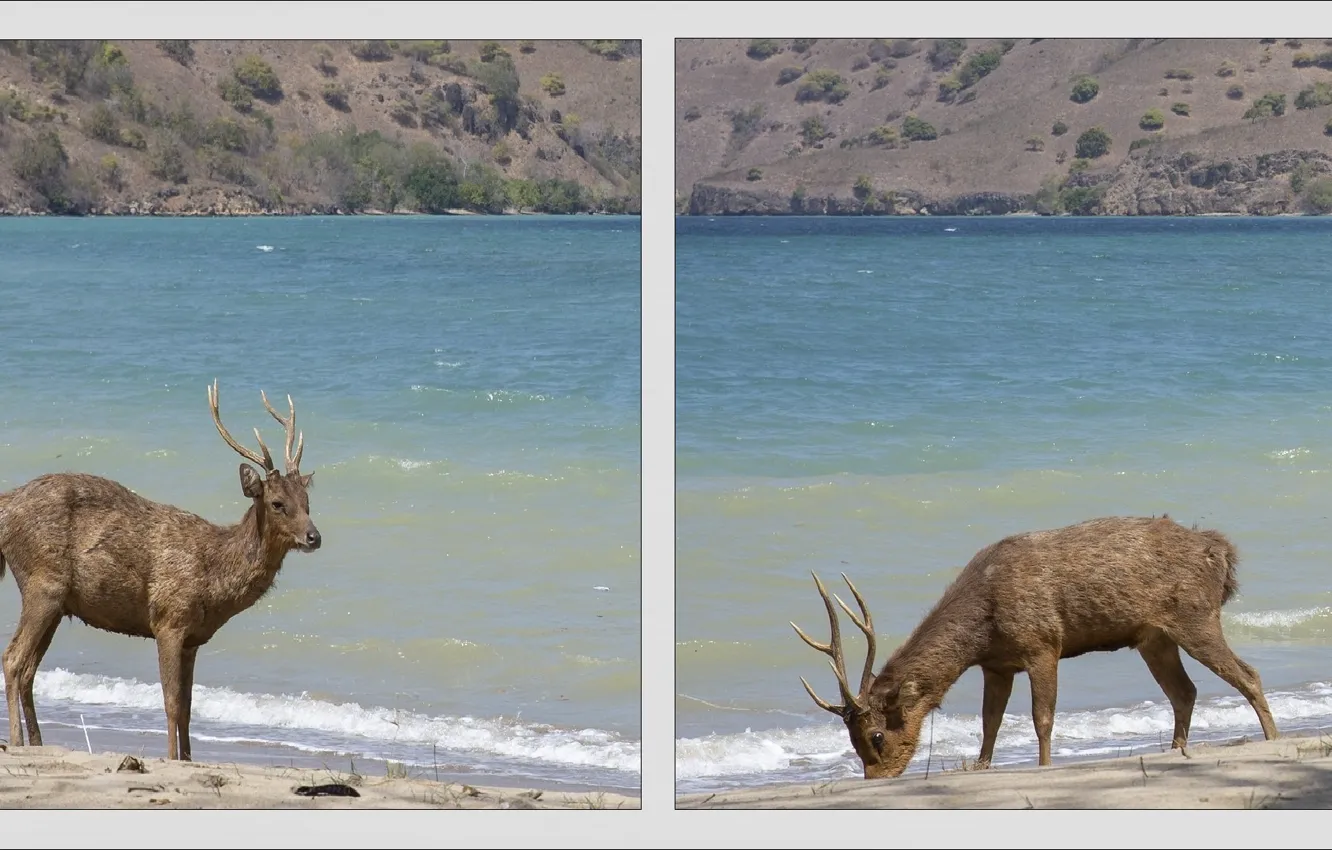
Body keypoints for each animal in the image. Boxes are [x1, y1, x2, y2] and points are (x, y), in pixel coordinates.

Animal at [0, 379, 321, 762]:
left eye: (308, 502)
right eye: (277, 503)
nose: (314, 536)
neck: (214, 581)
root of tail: (6, 507)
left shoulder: (194, 638)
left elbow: (187, 707)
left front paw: (188, 758)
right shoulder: (168, 619)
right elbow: (170, 702)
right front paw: (171, 758)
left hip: (58, 602)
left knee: (29, 669)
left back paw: (38, 743)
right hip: (41, 582)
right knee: (13, 659)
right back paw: (17, 742)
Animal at [791, 514, 1279, 780]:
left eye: (875, 735)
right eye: (851, 739)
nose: (874, 777)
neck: (982, 630)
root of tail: (1221, 551)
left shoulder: (1043, 643)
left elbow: (1041, 718)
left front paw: (1044, 766)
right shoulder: (996, 665)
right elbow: (989, 721)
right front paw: (981, 765)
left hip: (1195, 616)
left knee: (1247, 674)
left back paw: (1272, 741)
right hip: (1153, 637)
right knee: (1185, 691)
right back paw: (1177, 750)